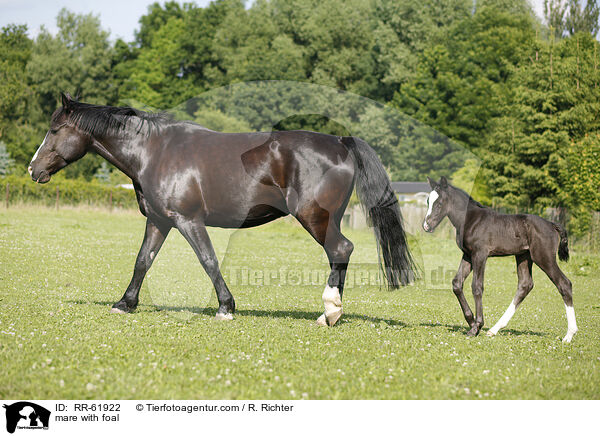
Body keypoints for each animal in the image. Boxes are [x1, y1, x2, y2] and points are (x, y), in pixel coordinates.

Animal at [422, 176, 576, 340]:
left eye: (439, 203)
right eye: (428, 201)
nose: (426, 226)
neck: (471, 220)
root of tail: (551, 224)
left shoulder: (480, 254)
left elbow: (477, 287)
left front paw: (476, 326)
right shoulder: (468, 255)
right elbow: (457, 284)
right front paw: (471, 322)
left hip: (543, 257)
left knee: (564, 283)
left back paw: (569, 335)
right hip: (523, 256)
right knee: (525, 285)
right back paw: (494, 329)